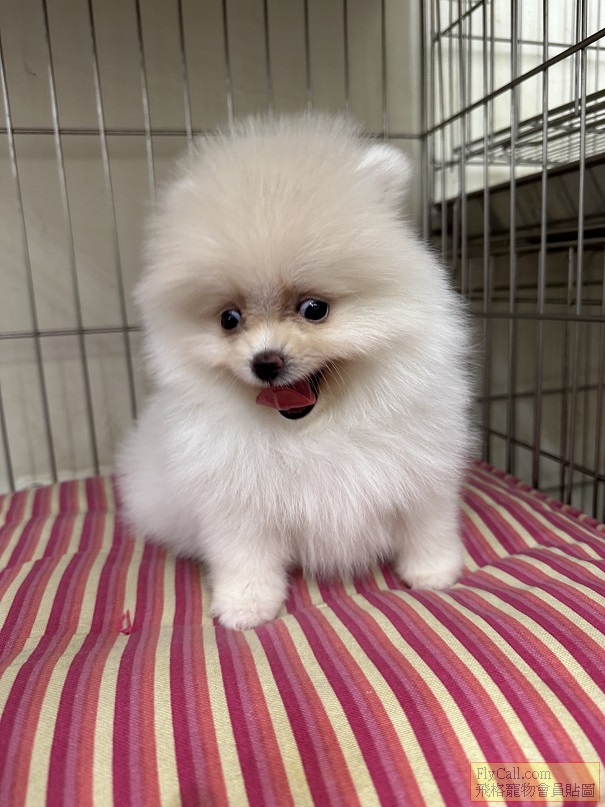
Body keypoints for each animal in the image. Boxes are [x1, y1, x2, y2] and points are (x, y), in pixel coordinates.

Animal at [117, 113, 471, 629]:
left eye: (314, 309)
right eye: (229, 319)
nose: (265, 361)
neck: (315, 430)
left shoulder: (423, 470)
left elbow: (427, 524)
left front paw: (434, 571)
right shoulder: (234, 501)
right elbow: (245, 555)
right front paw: (246, 606)